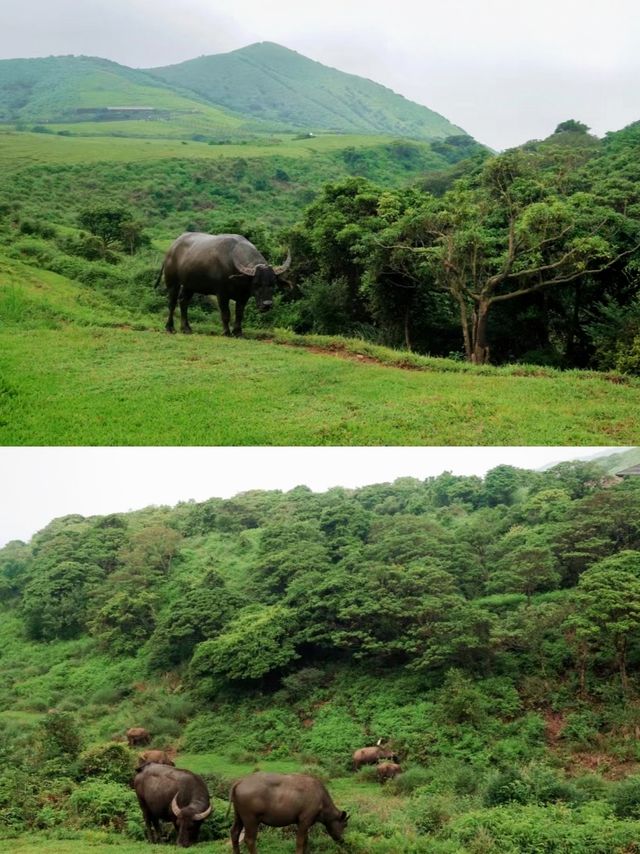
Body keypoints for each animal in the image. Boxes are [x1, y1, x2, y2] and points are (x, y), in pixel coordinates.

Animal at [158, 234, 292, 342]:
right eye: (256, 283)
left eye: (273, 284)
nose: (267, 304)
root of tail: (171, 249)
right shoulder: (222, 294)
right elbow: (226, 313)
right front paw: (226, 332)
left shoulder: (243, 296)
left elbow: (239, 314)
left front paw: (238, 332)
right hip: (172, 282)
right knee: (172, 303)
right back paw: (170, 328)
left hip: (189, 286)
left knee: (183, 302)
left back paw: (186, 328)